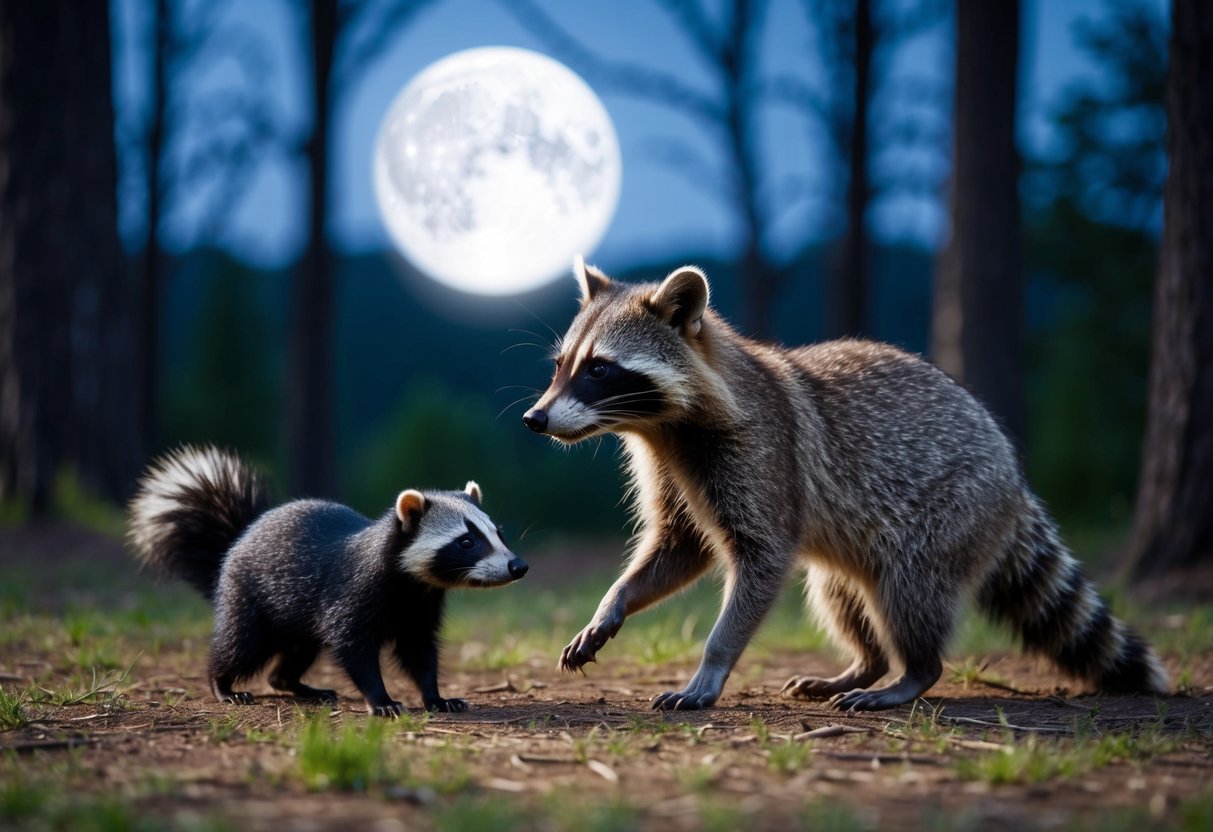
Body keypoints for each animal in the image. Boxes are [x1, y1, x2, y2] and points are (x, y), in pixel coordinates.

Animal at [128, 445, 528, 716]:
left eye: (498, 533)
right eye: (466, 541)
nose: (518, 566)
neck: (411, 585)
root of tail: (240, 536)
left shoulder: (419, 609)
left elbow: (419, 652)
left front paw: (436, 696)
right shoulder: (352, 593)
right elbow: (354, 648)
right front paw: (381, 699)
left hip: (297, 617)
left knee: (294, 656)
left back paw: (298, 685)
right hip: (250, 596)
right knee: (239, 644)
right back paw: (223, 684)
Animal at [521, 257, 1167, 712]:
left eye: (599, 369)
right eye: (560, 365)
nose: (534, 419)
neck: (663, 428)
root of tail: (1014, 479)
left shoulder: (762, 457)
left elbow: (761, 560)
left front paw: (712, 664)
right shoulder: (672, 471)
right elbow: (678, 549)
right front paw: (615, 601)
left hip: (951, 512)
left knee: (910, 591)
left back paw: (912, 672)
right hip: (860, 545)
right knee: (839, 595)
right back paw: (867, 663)